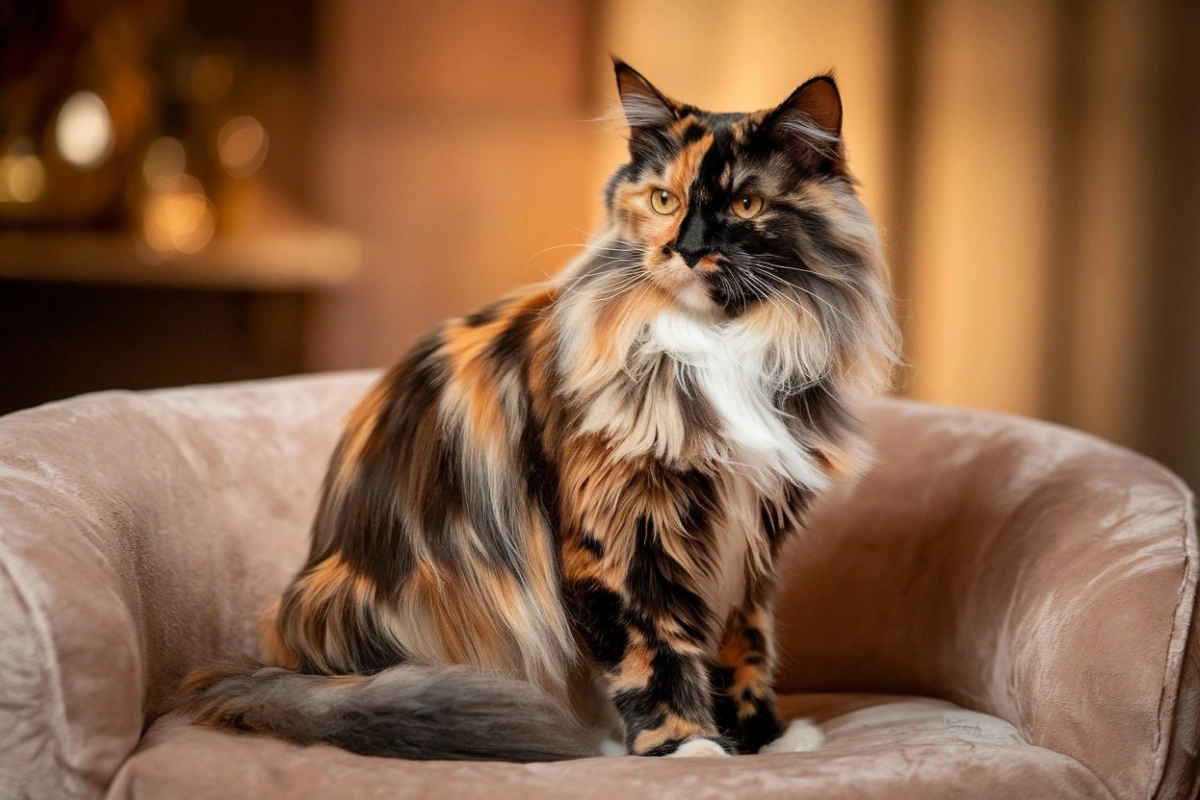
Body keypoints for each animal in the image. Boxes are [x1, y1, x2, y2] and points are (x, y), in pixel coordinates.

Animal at [182, 59, 902, 762]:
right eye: (663, 201)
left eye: (746, 204)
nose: (688, 249)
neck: (724, 343)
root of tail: (289, 667)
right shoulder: (622, 534)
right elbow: (656, 650)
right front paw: (690, 748)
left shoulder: (751, 539)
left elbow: (743, 645)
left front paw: (762, 739)